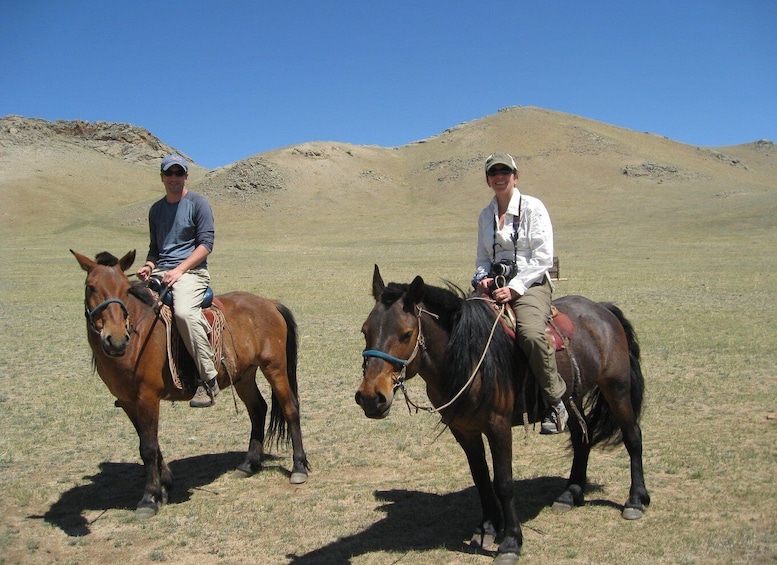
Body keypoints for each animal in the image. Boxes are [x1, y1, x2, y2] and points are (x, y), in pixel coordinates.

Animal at [71, 249, 310, 516]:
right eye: (90, 287)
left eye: (125, 289)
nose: (116, 340)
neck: (138, 338)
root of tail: (269, 303)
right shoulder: (128, 401)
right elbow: (149, 442)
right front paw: (164, 485)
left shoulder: (147, 396)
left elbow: (148, 448)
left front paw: (149, 498)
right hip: (244, 375)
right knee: (258, 409)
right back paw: (249, 464)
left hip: (274, 368)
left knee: (290, 409)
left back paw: (298, 468)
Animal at [354, 266, 644, 564]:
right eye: (365, 331)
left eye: (406, 333)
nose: (371, 397)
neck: (469, 356)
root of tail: (602, 309)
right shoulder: (464, 429)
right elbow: (481, 478)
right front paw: (487, 528)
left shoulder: (498, 426)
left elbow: (504, 482)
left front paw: (511, 542)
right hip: (572, 397)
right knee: (581, 440)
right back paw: (570, 494)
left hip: (617, 388)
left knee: (632, 437)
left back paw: (635, 501)